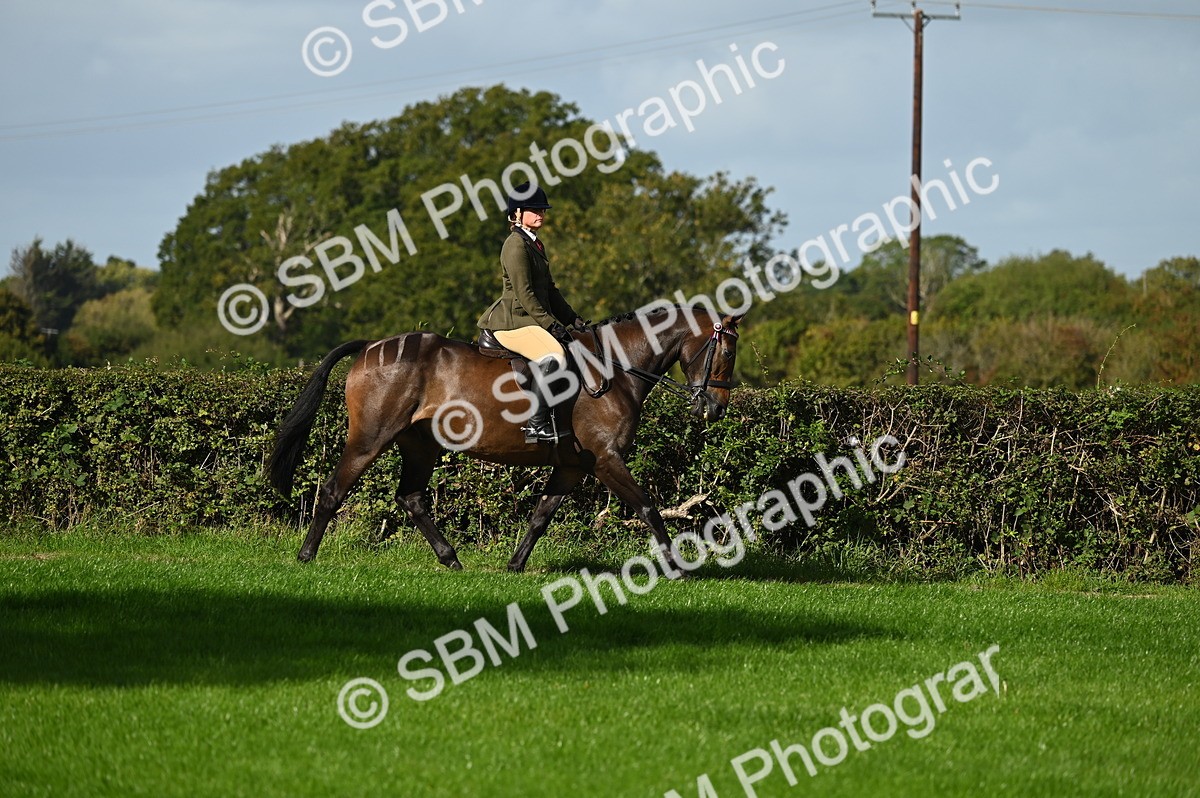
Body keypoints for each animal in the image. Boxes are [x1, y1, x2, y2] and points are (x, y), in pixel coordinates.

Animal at [266, 304, 743, 572]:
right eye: (726, 350)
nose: (716, 408)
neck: (614, 368)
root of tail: (370, 346)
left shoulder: (573, 466)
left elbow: (540, 516)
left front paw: (515, 565)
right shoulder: (606, 460)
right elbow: (648, 508)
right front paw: (677, 566)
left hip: (420, 445)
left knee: (411, 497)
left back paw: (452, 559)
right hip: (370, 439)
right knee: (333, 490)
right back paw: (306, 557)